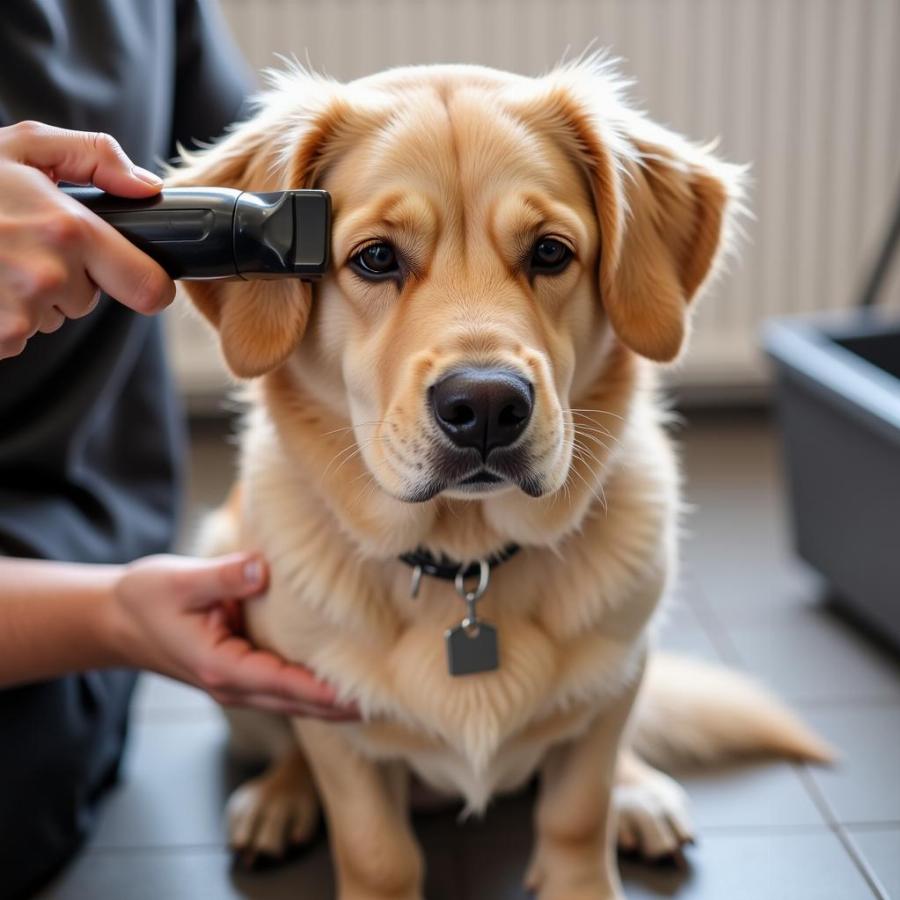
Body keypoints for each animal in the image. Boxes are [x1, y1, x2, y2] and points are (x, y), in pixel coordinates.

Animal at [169, 61, 828, 900]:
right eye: (375, 258)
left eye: (550, 252)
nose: (484, 406)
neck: (466, 561)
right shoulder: (336, 728)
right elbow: (376, 850)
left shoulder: (610, 693)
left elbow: (578, 812)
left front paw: (592, 859)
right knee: (287, 747)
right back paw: (279, 798)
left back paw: (642, 796)